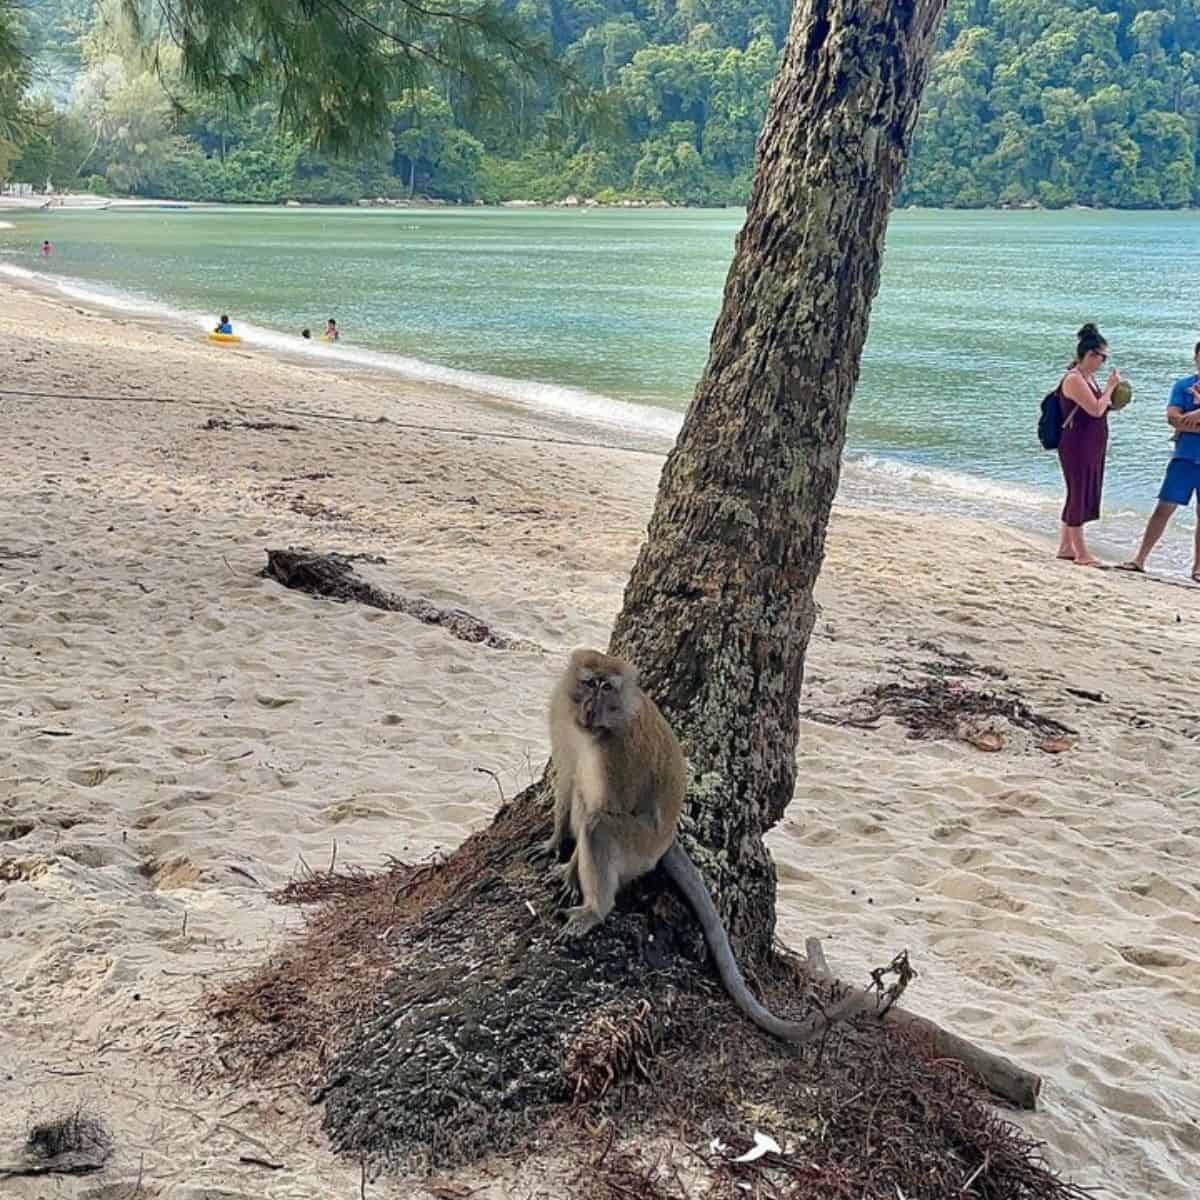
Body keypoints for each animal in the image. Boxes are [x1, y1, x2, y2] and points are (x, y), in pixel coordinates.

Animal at [542, 643, 864, 1046]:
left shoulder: (618, 754)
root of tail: (666, 841)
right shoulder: (563, 716)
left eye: (607, 688)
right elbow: (570, 780)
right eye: (589, 683)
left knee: (599, 827)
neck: (590, 731)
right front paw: (557, 843)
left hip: (640, 846)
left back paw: (596, 910)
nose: (592, 706)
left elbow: (601, 809)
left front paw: (574, 869)